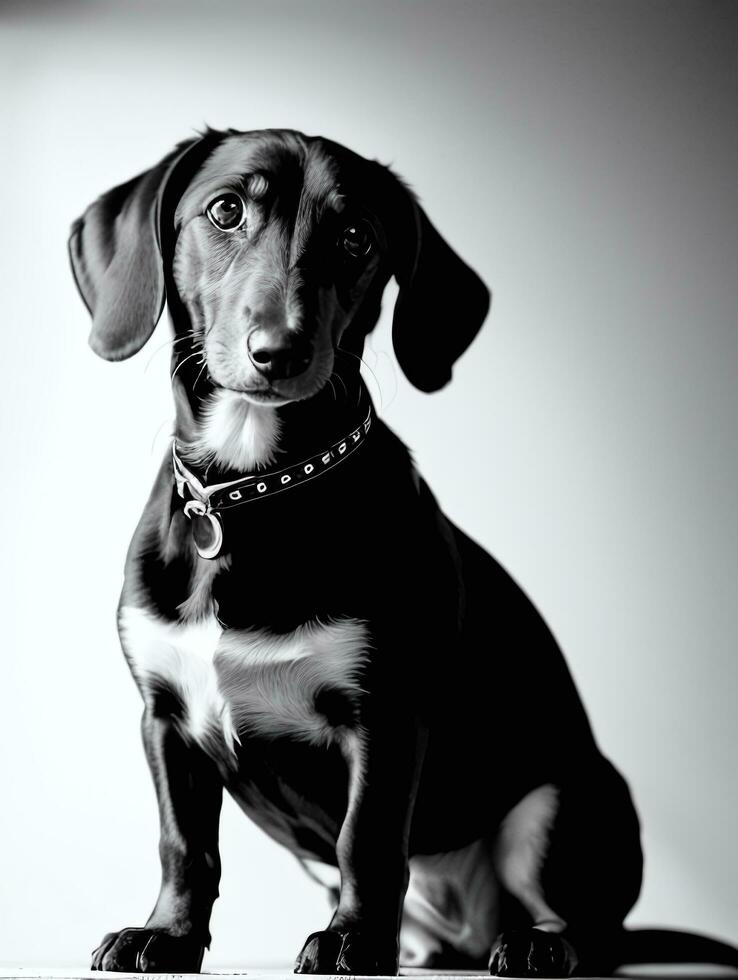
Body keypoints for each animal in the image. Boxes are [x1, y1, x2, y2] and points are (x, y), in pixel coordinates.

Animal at [69, 128, 736, 972]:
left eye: (357, 238)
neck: (254, 490)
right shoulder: (165, 718)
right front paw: (167, 935)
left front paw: (352, 939)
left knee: (588, 926)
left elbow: (369, 839)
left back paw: (537, 945)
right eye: (225, 211)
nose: (279, 352)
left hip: (563, 801)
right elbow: (185, 846)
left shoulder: (385, 714)